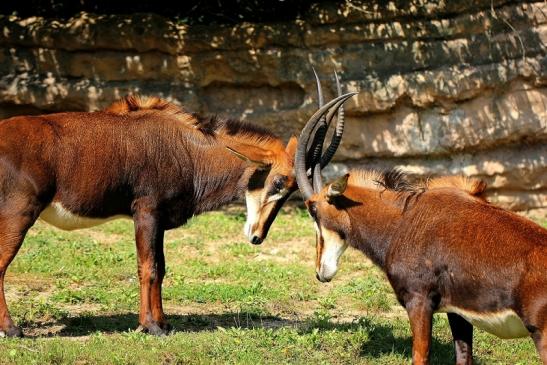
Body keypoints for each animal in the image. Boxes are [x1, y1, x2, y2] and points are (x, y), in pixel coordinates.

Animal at [0, 82, 352, 336]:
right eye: (278, 180)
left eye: (290, 188)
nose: (256, 236)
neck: (187, 149)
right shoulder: (146, 212)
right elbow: (149, 267)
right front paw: (149, 327)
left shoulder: (159, 220)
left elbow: (163, 268)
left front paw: (163, 323)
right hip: (19, 214)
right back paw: (12, 330)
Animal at [296, 95, 547, 362]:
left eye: (313, 210)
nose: (320, 272)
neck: (403, 220)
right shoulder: (456, 312)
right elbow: (463, 356)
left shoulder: (418, 301)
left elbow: (420, 355)